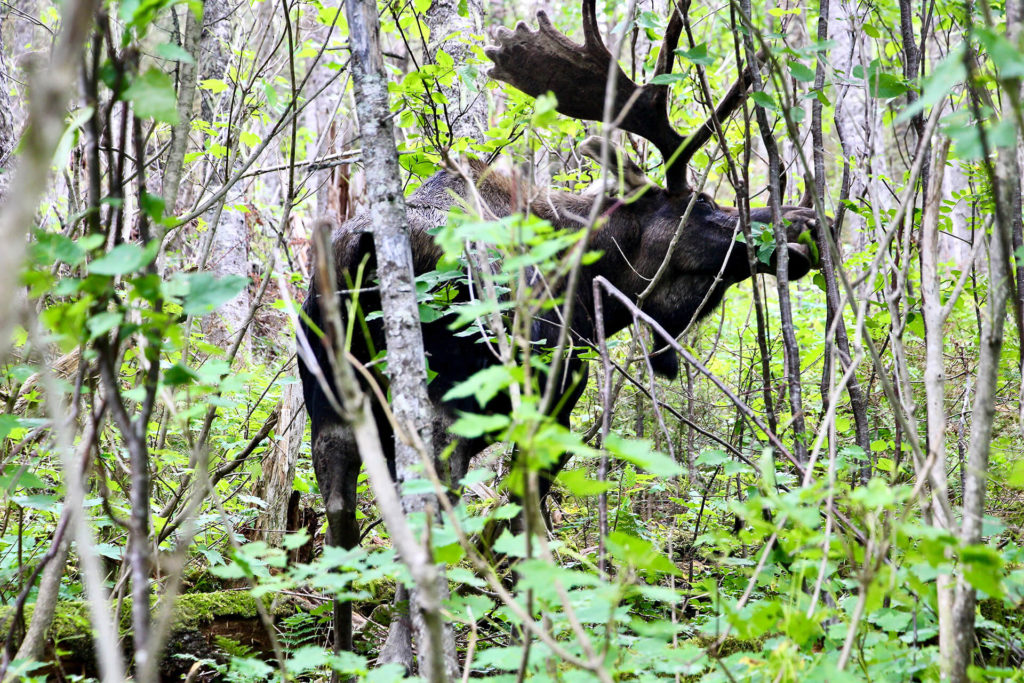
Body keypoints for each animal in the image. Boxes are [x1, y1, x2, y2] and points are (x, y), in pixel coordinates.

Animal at [296, 0, 823, 663]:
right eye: (703, 205)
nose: (806, 223)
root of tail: (357, 251)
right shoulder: (556, 397)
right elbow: (521, 522)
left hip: (331, 404)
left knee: (340, 514)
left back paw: (342, 654)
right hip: (441, 403)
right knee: (426, 512)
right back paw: (407, 648)